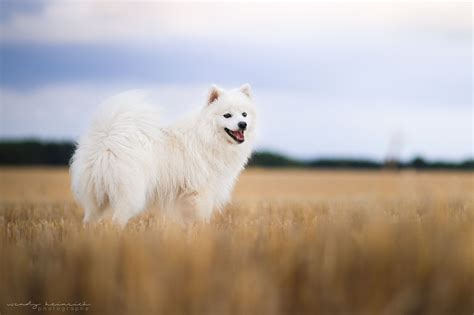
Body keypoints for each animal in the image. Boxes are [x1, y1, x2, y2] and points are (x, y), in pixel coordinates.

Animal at [69, 85, 258, 226]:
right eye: (227, 115)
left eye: (244, 114)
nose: (243, 124)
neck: (208, 136)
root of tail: (106, 139)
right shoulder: (200, 194)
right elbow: (200, 220)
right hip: (129, 194)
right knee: (117, 220)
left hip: (97, 197)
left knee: (89, 219)